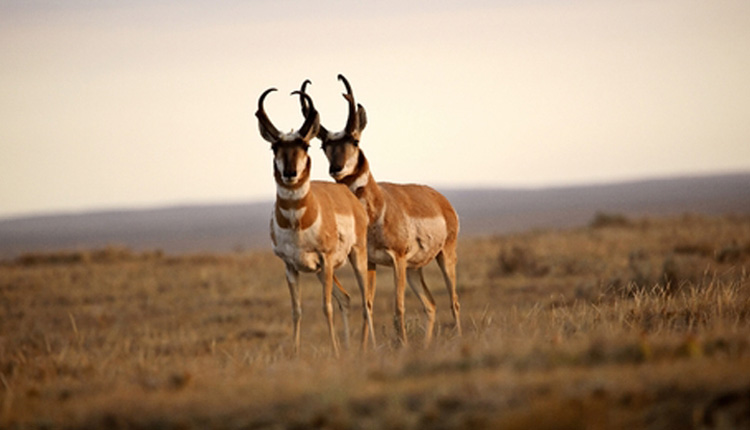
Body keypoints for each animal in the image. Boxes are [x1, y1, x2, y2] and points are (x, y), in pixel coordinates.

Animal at [258, 87, 376, 356]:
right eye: (274, 148)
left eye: (306, 145)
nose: (290, 173)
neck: (297, 223)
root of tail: (347, 194)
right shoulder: (290, 266)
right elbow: (297, 310)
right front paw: (295, 353)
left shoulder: (326, 259)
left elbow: (326, 307)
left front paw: (333, 352)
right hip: (323, 272)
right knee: (346, 298)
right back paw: (348, 348)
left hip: (355, 257)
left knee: (364, 300)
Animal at [300, 76, 464, 346]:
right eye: (324, 145)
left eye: (355, 141)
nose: (336, 169)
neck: (377, 210)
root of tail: (440, 198)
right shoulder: (370, 262)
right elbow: (368, 305)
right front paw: (365, 348)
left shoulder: (397, 259)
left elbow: (398, 307)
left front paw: (402, 346)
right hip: (414, 269)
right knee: (430, 304)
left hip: (444, 255)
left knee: (454, 301)